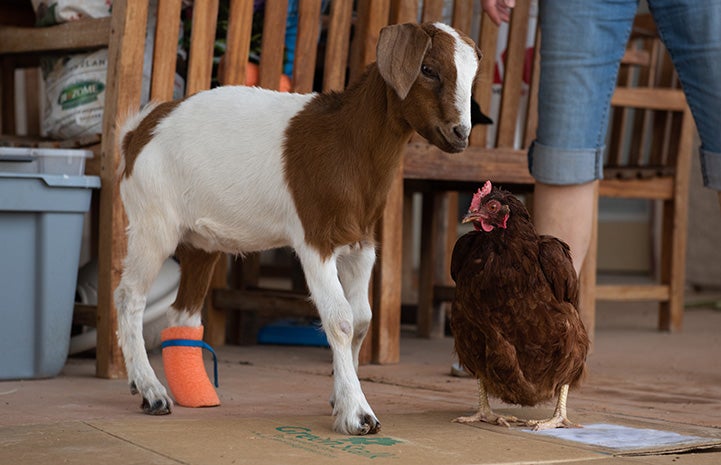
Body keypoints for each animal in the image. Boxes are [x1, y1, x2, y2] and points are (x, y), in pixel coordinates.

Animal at [115, 21, 481, 435]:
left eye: (472, 78)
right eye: (429, 70)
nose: (460, 134)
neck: (347, 143)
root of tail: (137, 132)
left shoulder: (362, 243)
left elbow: (362, 320)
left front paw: (340, 395)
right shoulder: (315, 238)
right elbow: (340, 318)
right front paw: (357, 413)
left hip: (201, 241)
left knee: (182, 312)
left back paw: (193, 392)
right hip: (153, 222)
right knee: (130, 297)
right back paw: (150, 391)